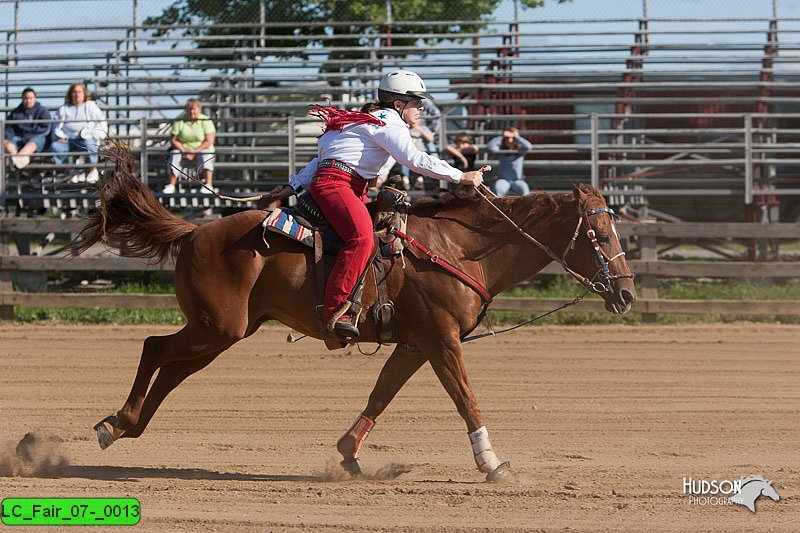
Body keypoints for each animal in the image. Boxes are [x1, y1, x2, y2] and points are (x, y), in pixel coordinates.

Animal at [69, 148, 636, 480]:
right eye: (600, 234)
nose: (627, 294)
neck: (458, 247)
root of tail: (194, 231)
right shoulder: (443, 340)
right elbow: (465, 399)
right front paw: (493, 464)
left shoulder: (415, 343)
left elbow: (381, 394)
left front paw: (347, 453)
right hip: (216, 327)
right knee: (154, 349)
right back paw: (116, 423)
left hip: (222, 331)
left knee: (173, 370)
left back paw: (124, 426)